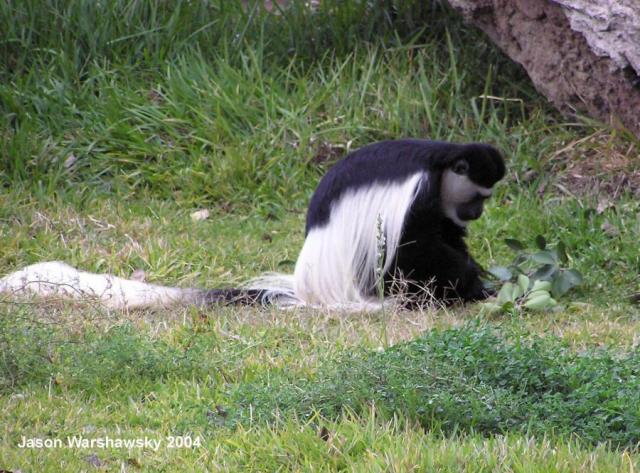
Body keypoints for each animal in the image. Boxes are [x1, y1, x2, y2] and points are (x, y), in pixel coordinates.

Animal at [2, 138, 508, 312]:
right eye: (478, 198)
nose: (478, 214)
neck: (439, 164)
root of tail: (313, 288)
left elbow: (446, 235)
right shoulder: (419, 195)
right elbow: (418, 246)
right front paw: (474, 283)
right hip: (371, 278)